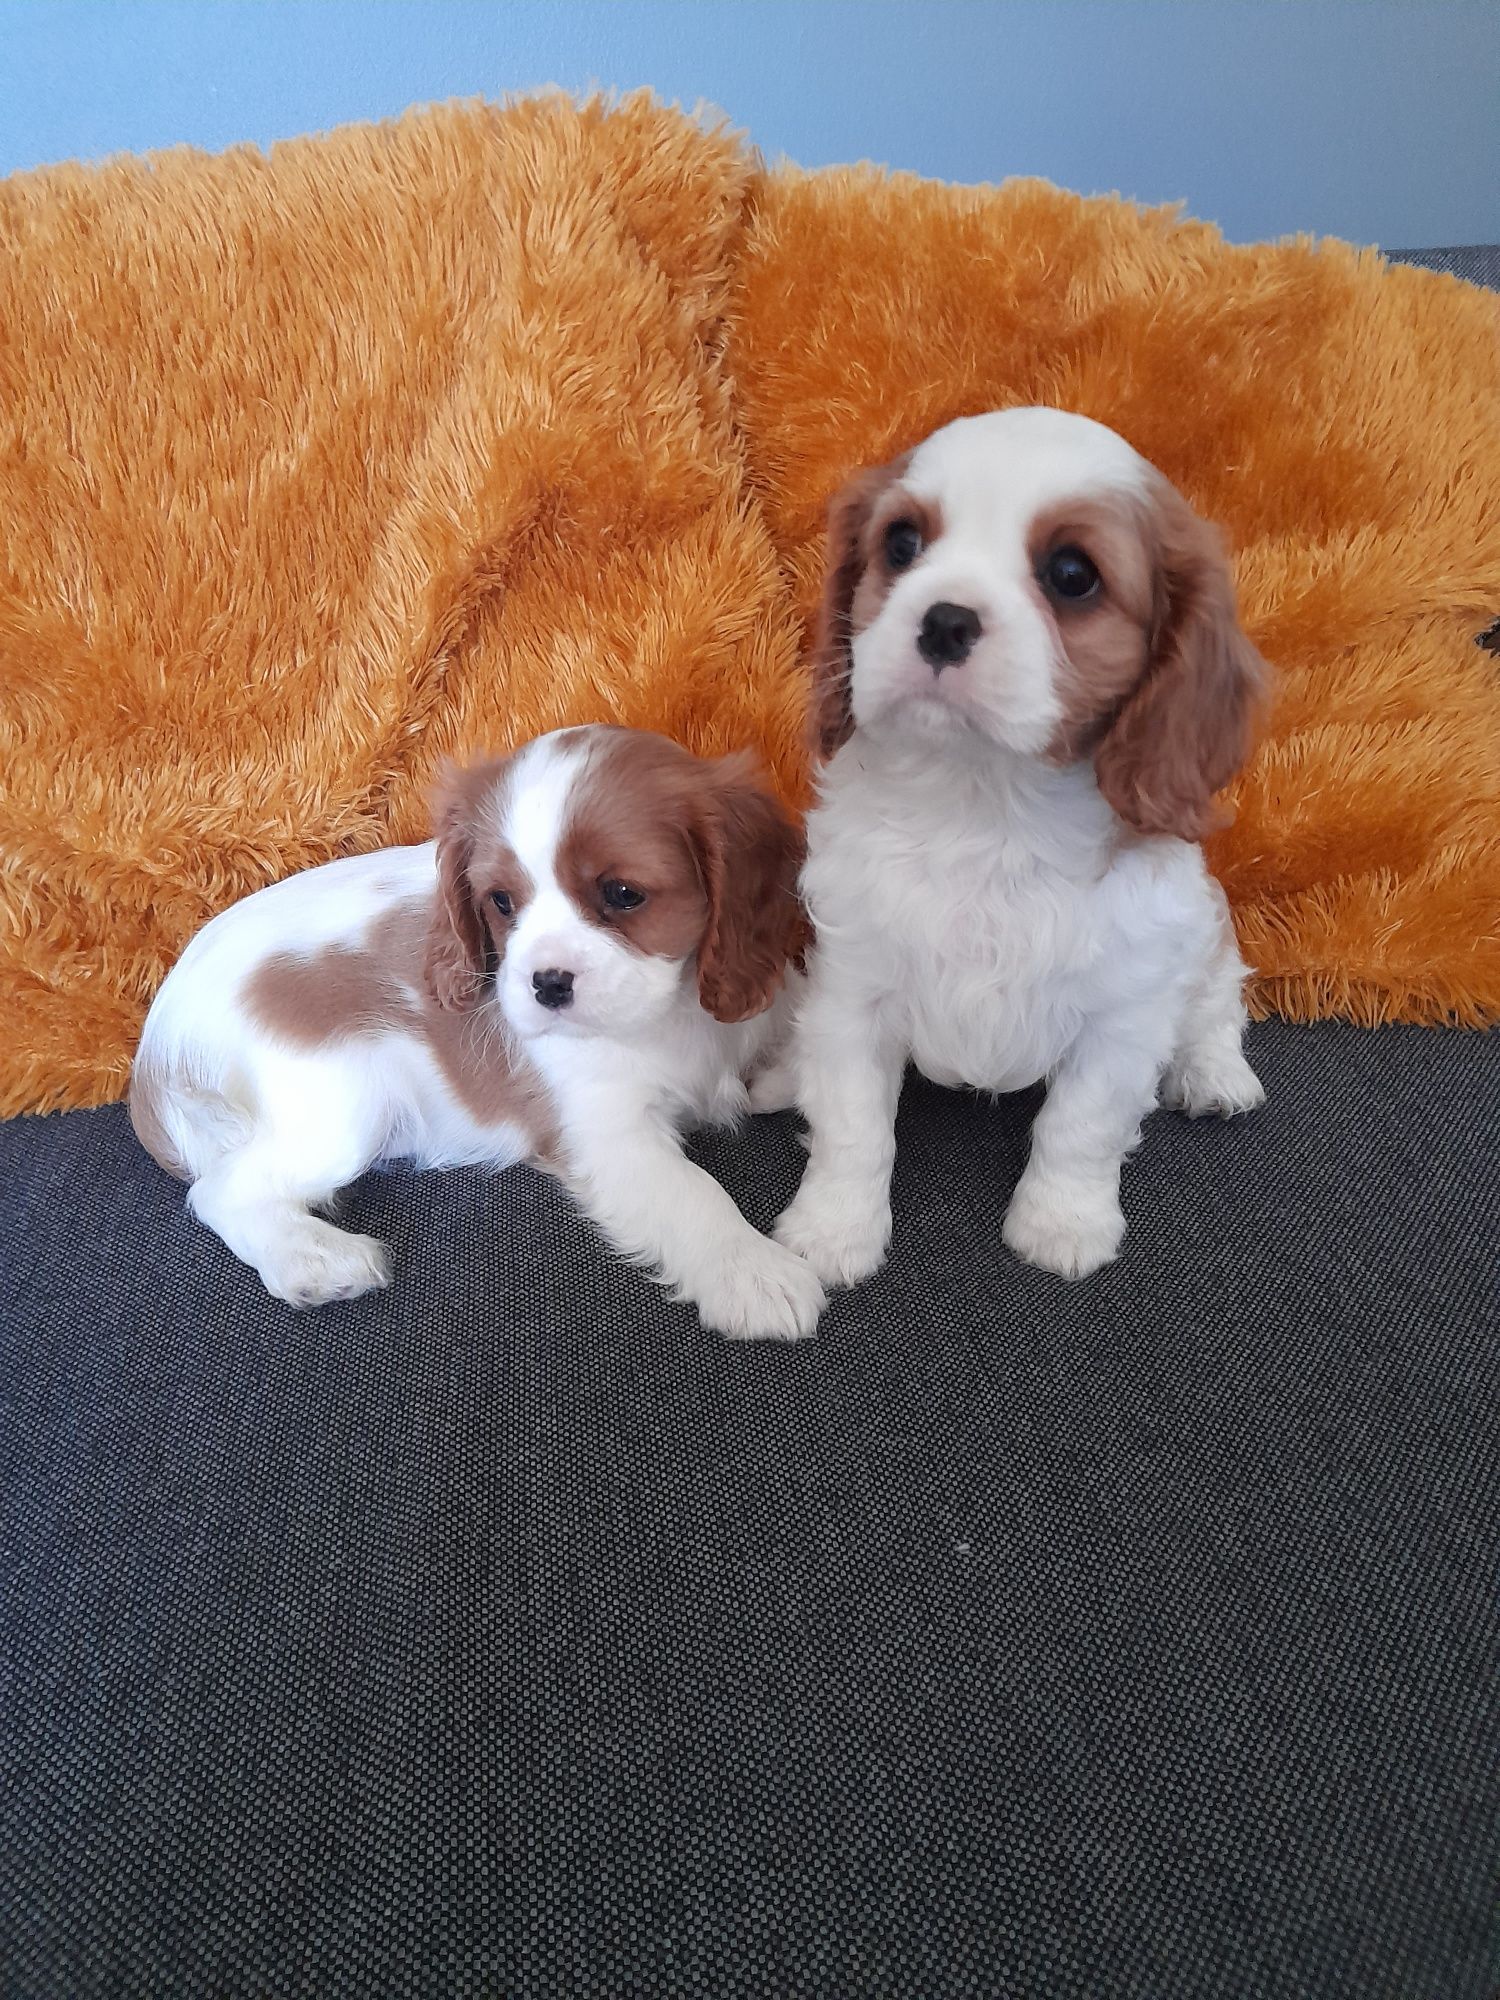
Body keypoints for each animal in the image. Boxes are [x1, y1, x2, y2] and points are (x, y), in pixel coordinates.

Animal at [134, 728, 828, 1336]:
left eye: (623, 893)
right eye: (500, 902)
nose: (547, 984)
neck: (672, 1012)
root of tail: (155, 1053)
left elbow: (808, 1046)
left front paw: (773, 1086)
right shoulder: (607, 1136)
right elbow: (692, 1191)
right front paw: (753, 1273)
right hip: (345, 1105)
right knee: (221, 1190)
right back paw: (313, 1258)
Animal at [768, 404, 1272, 1280]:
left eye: (1072, 574)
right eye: (902, 544)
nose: (943, 619)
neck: (986, 804)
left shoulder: (1123, 1014)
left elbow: (1081, 1127)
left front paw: (1062, 1224)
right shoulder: (851, 994)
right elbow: (854, 1129)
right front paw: (833, 1231)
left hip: (1206, 933)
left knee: (1217, 1003)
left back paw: (1215, 1073)